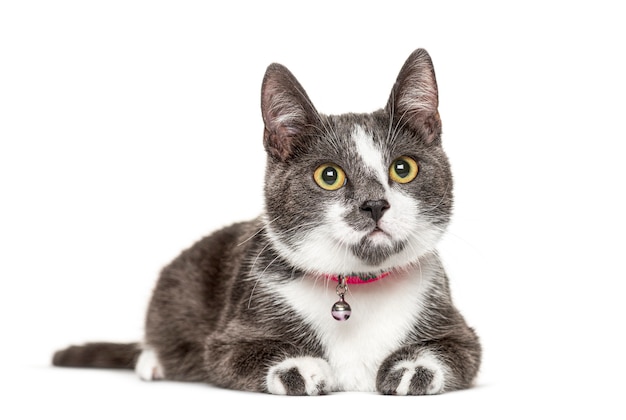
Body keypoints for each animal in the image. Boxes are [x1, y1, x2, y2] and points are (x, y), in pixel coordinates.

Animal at [54, 48, 482, 394]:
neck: (357, 283)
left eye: (403, 168)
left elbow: (459, 351)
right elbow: (232, 355)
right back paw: (154, 360)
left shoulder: (459, 328)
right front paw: (300, 367)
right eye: (329, 175)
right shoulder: (231, 331)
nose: (375, 204)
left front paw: (412, 367)